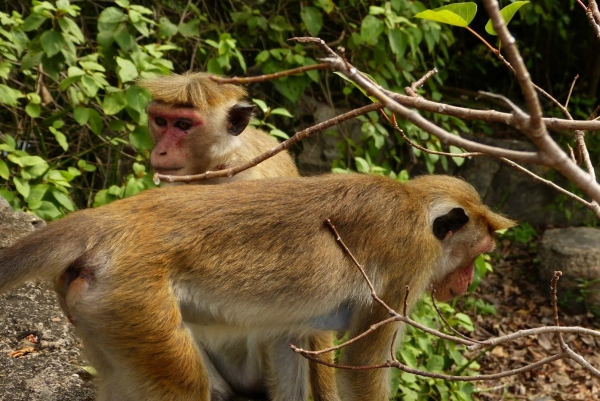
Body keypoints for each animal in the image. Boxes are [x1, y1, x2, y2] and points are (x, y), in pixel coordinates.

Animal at [0, 173, 516, 400]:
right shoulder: (409, 261)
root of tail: (110, 222)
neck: (417, 205)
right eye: (476, 255)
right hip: (135, 300)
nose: (466, 282)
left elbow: (289, 343)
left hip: (104, 314)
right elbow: (362, 365)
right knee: (182, 384)